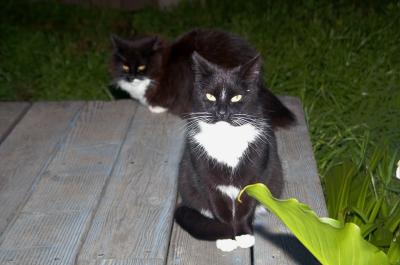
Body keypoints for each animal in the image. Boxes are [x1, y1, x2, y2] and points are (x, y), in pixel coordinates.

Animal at [175, 51, 288, 250]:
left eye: (236, 97)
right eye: (210, 96)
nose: (221, 112)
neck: (226, 138)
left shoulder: (255, 174)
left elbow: (246, 206)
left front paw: (243, 234)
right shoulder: (207, 179)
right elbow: (219, 208)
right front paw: (227, 236)